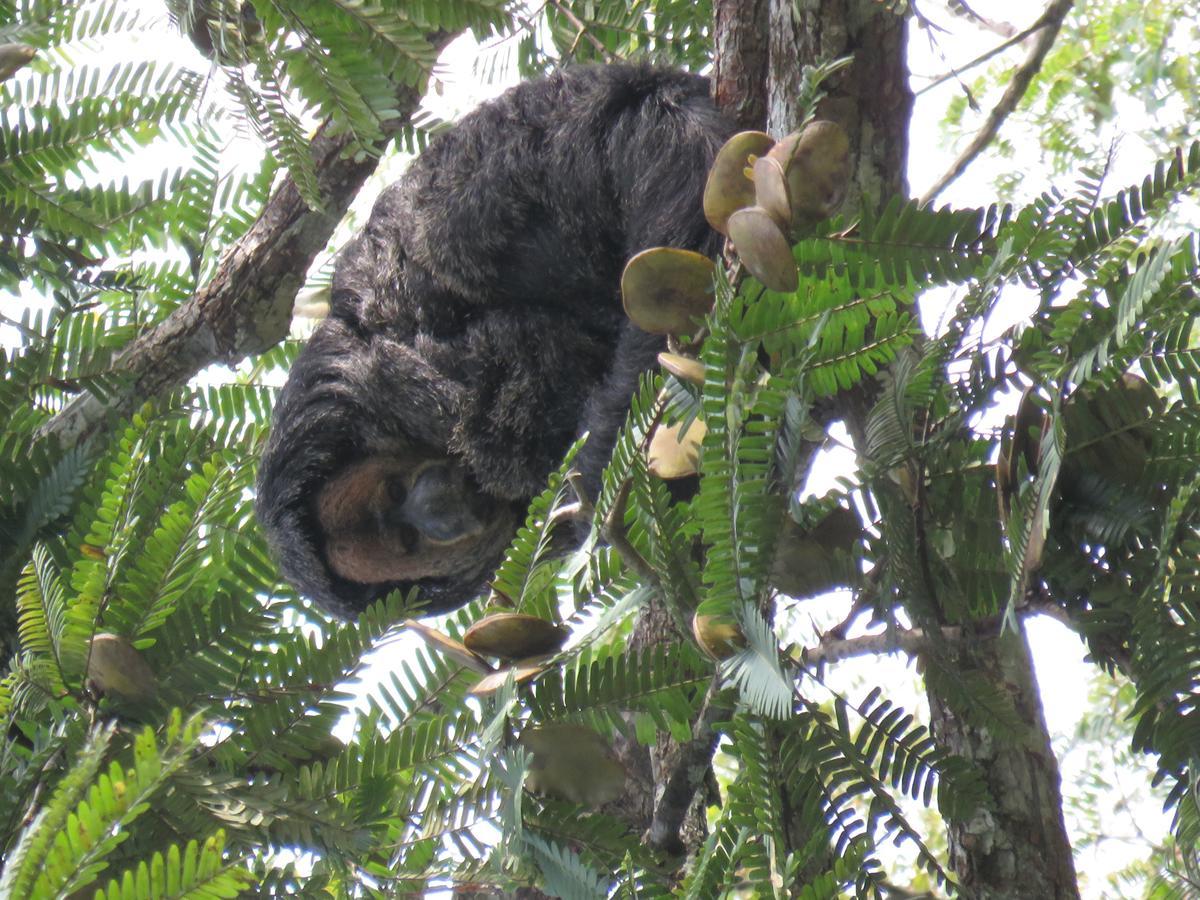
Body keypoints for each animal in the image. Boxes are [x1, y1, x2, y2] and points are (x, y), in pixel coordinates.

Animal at [255, 65, 729, 619]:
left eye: (395, 492)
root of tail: (635, 86)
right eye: (408, 541)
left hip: (535, 178)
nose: (439, 509)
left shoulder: (377, 380)